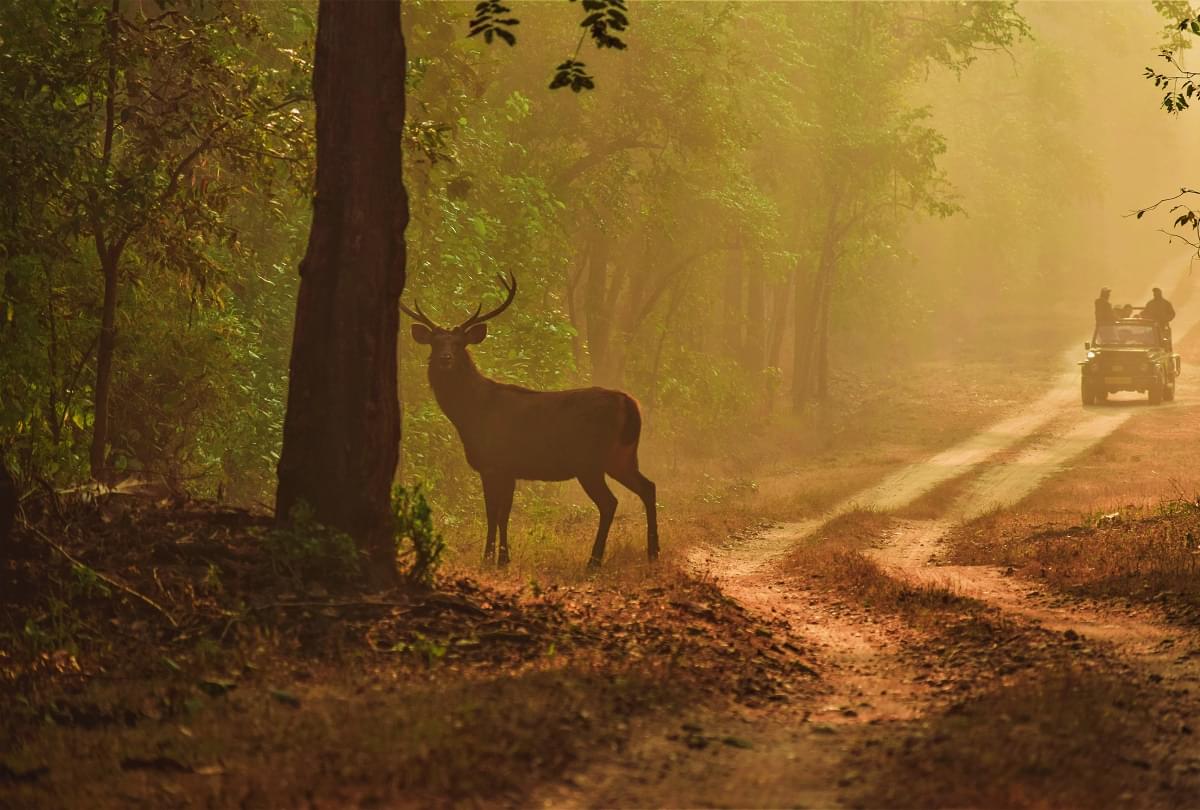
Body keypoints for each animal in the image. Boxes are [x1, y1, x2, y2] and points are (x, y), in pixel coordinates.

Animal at [405, 277, 662, 571]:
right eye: (435, 343)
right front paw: (502, 558)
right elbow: (502, 513)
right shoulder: (509, 469)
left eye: (459, 344)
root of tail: (629, 404)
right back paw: (653, 552)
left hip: (590, 461)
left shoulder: (495, 463)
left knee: (610, 502)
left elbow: (494, 512)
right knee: (648, 487)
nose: (445, 358)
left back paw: (594, 561)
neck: (471, 415)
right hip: (622, 456)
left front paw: (490, 558)